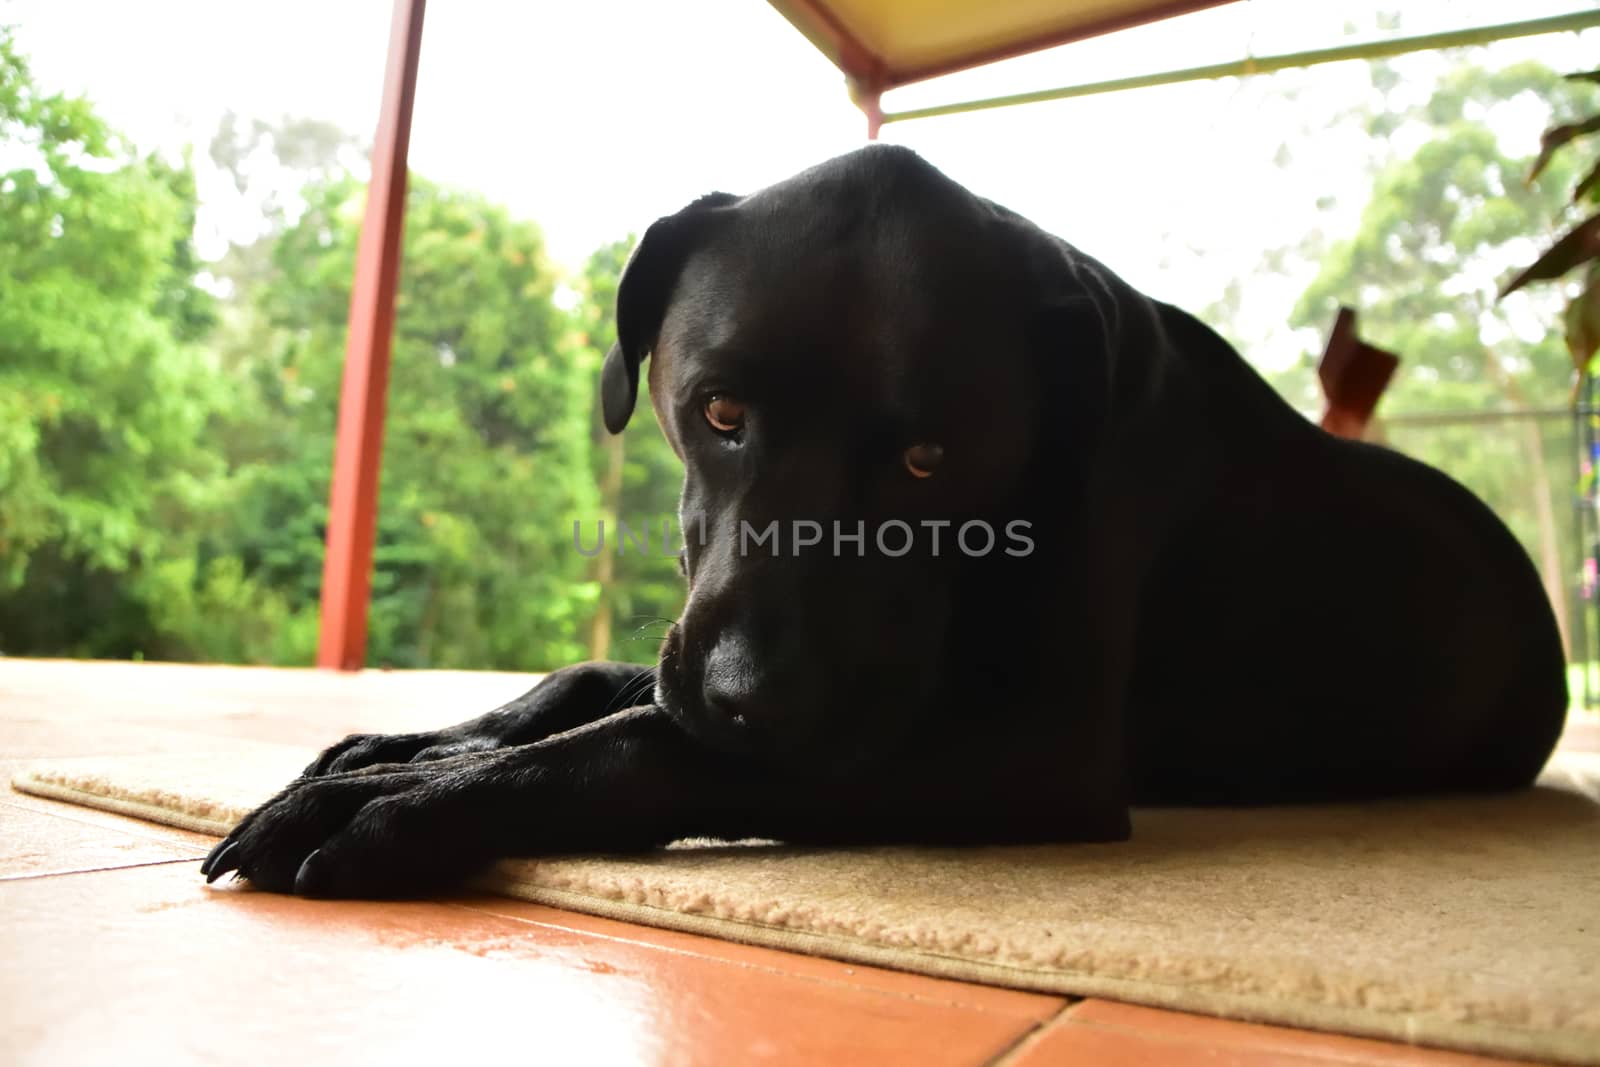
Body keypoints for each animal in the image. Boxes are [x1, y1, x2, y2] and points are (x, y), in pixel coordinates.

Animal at [200, 139, 1561, 895]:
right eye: (717, 409)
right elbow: (598, 685)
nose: (752, 695)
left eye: (925, 459)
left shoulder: (1029, 747)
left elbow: (645, 742)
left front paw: (402, 801)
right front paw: (404, 744)